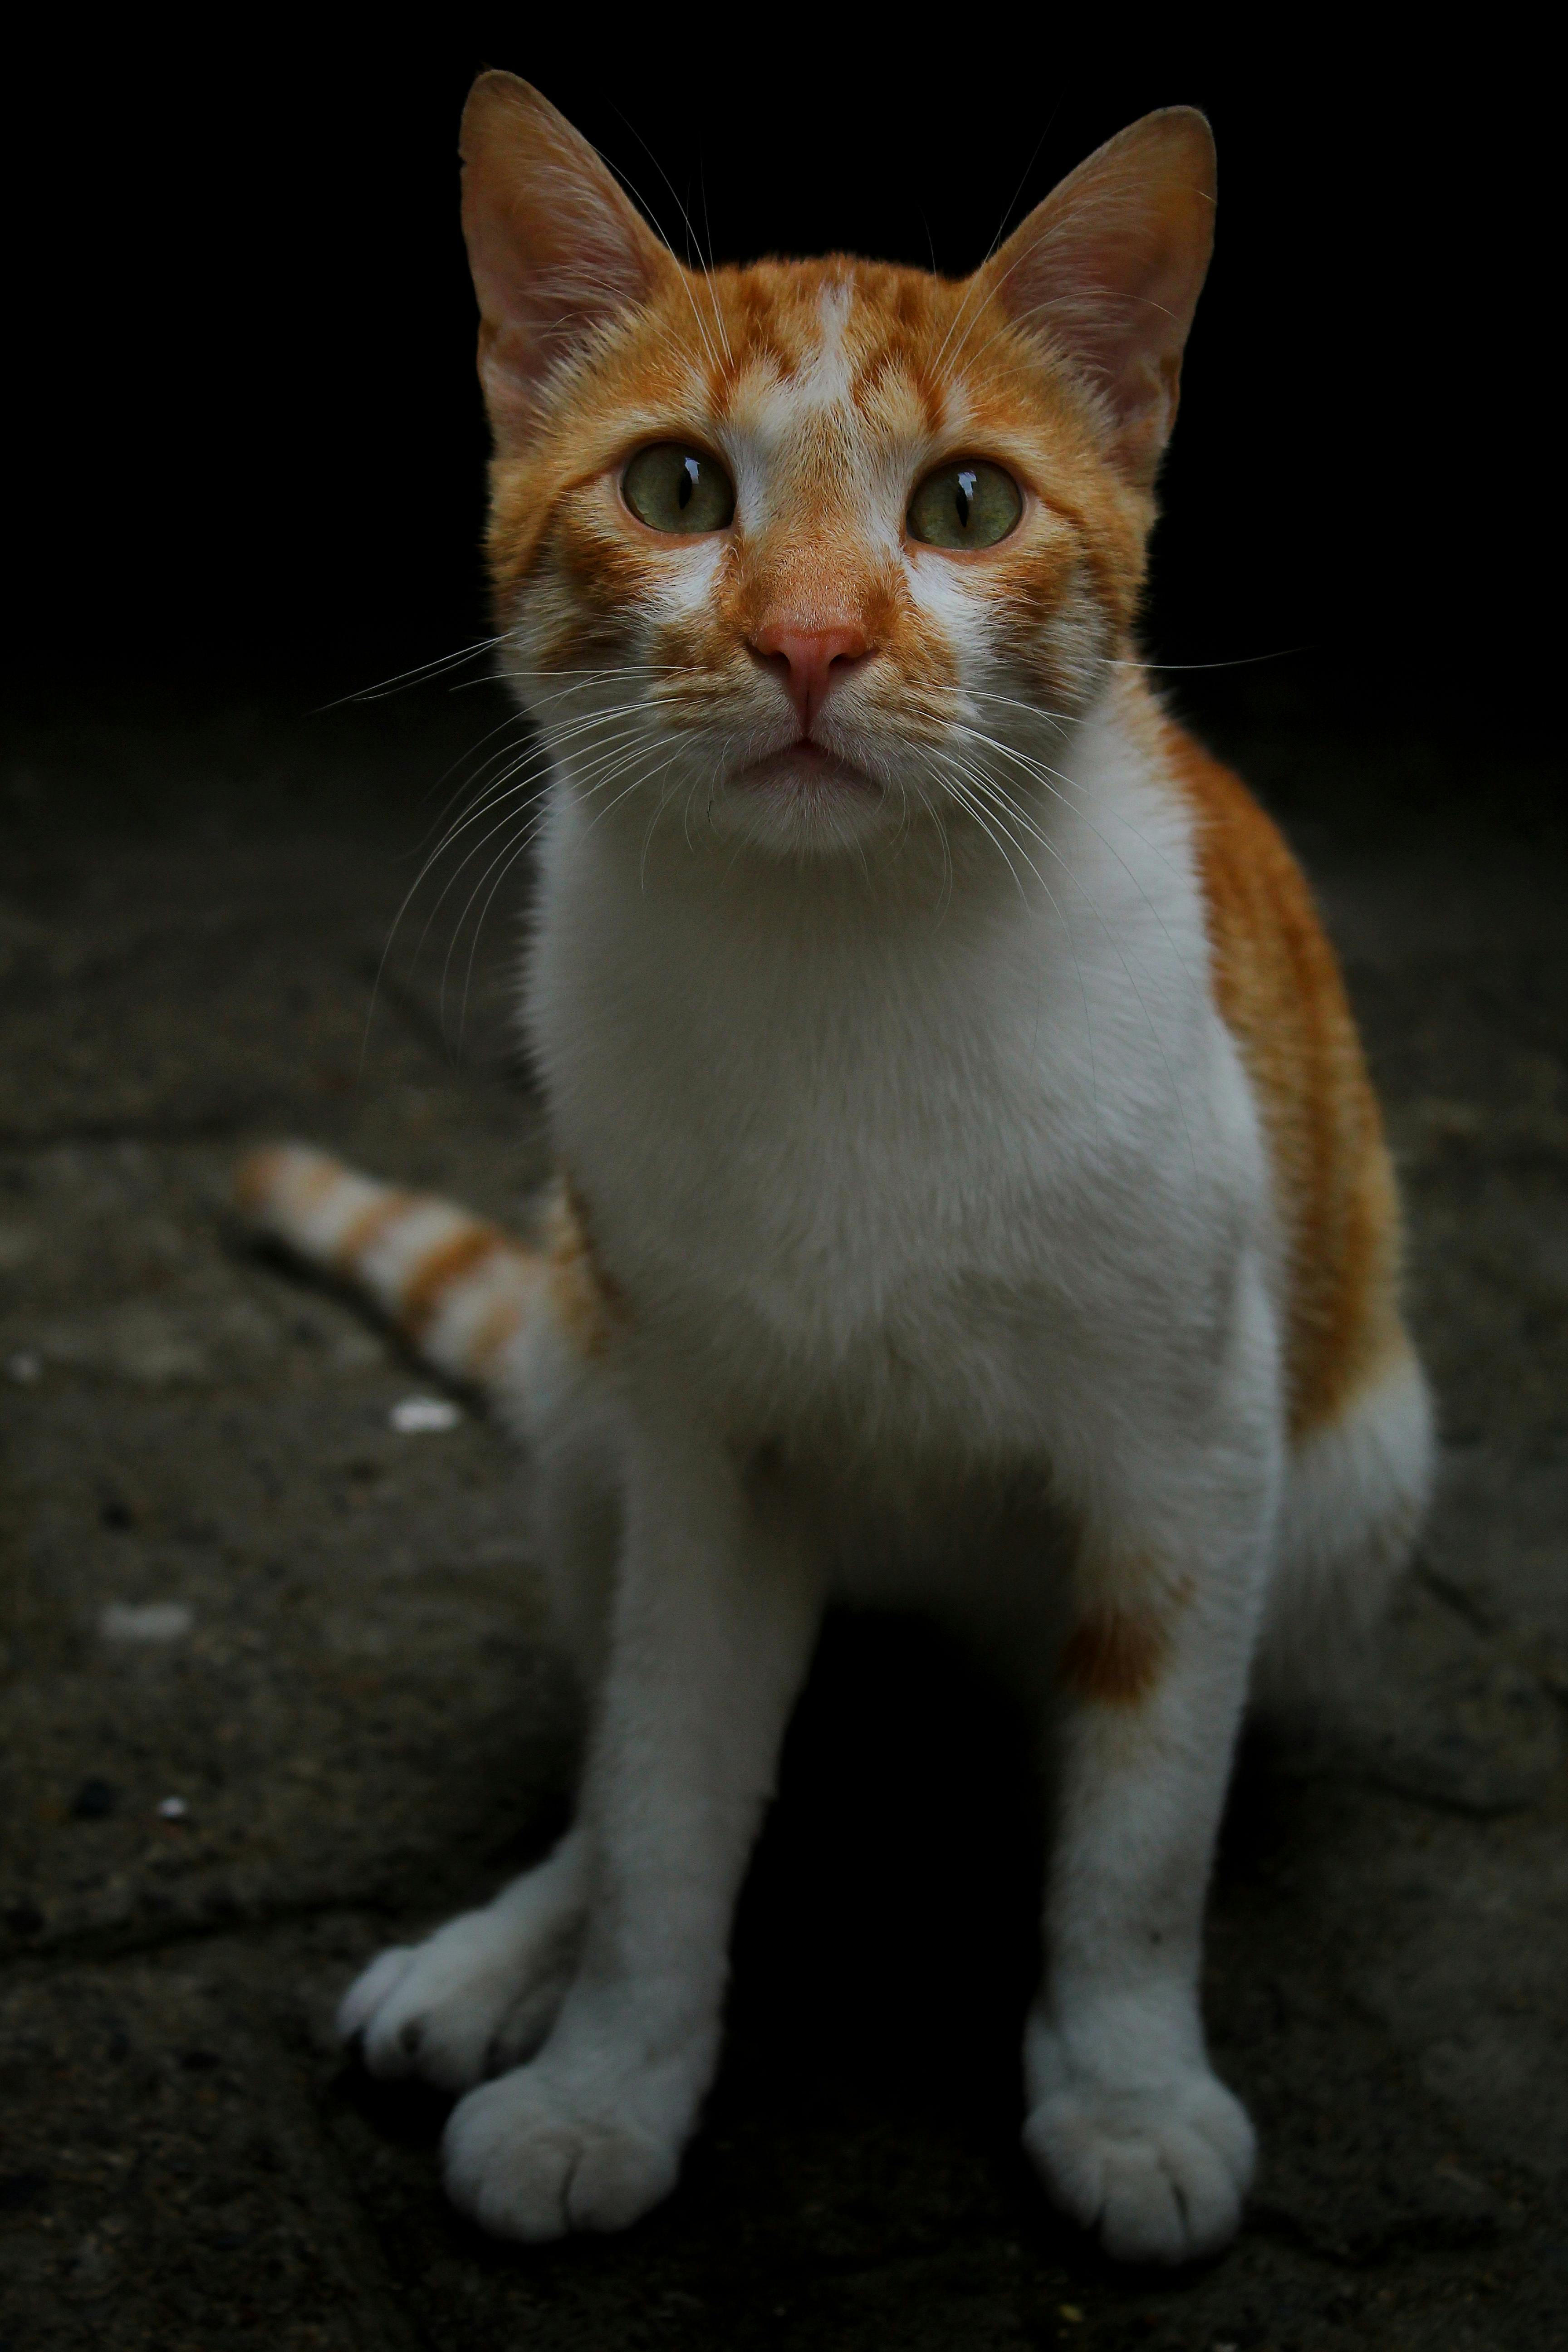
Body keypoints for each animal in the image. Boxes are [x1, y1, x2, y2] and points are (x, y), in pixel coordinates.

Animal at [232, 78, 1439, 2277]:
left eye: (964, 507)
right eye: (674, 486)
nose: (802, 638)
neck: (841, 958)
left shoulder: (1193, 1448)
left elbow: (1139, 1835)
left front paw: (1125, 2090)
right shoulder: (705, 1445)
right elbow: (660, 1790)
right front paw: (605, 2080)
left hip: (1349, 1485)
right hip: (587, 1387)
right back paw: (493, 1958)